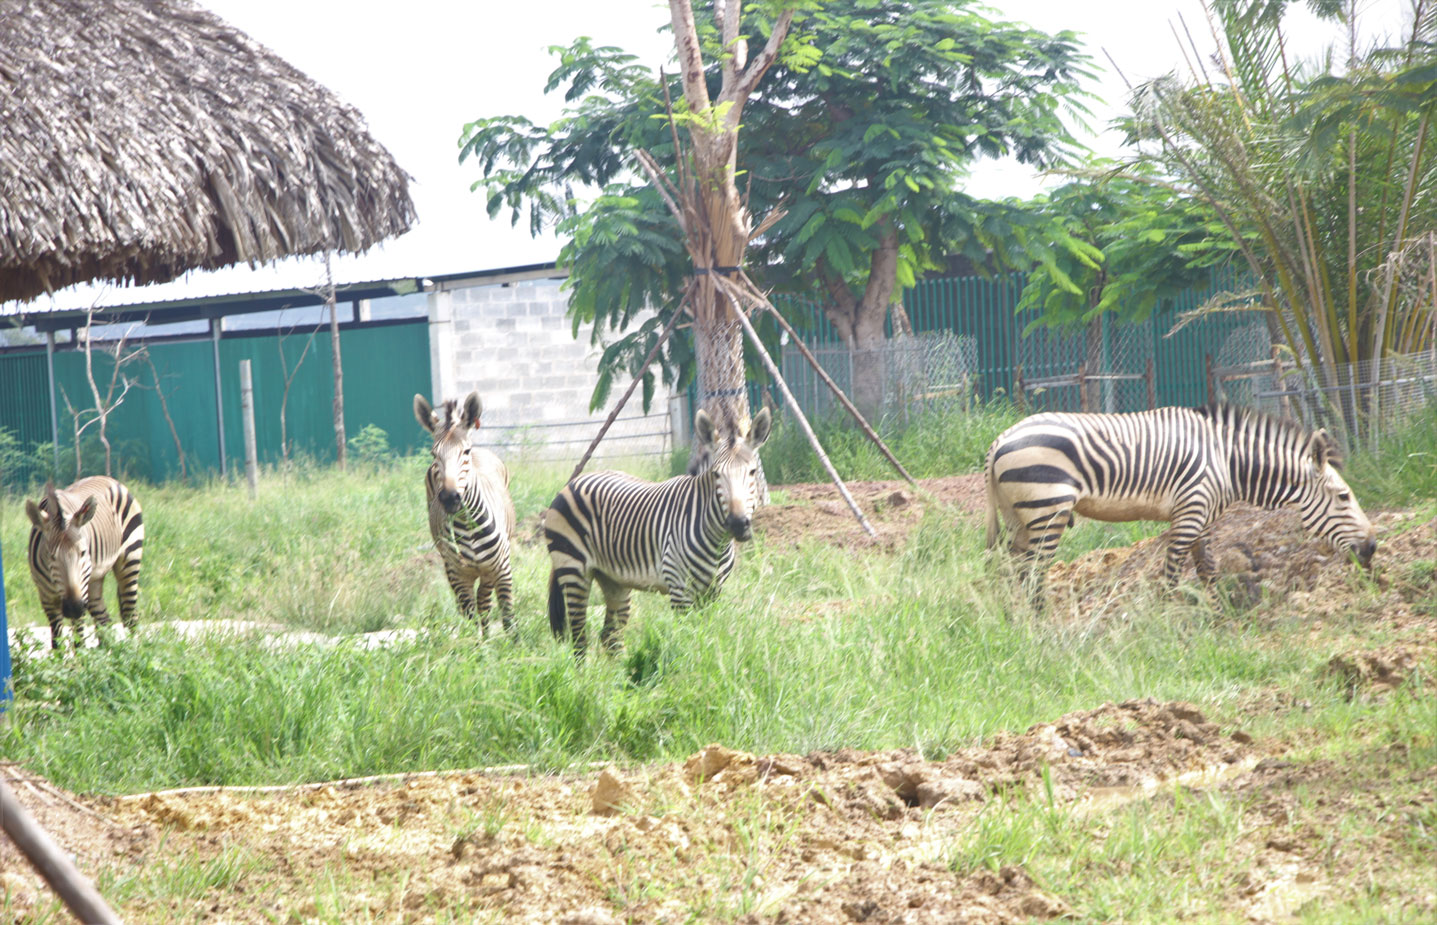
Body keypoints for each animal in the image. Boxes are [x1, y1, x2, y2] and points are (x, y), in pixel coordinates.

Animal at [26, 476, 144, 649]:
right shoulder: (46, 596)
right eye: (51, 557)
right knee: (104, 621)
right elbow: (57, 644)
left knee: (130, 616)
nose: (73, 608)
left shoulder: (81, 594)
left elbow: (79, 641)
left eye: (83, 553)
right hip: (94, 580)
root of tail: (107, 478)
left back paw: (134, 651)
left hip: (130, 559)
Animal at [413, 390, 520, 634]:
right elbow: (469, 621)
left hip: (488, 571)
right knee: (472, 606)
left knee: (484, 602)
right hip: (451, 567)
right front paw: (477, 645)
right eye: (434, 454)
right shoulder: (459, 574)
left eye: (465, 451)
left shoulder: (502, 569)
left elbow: (508, 620)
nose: (450, 497)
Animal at [546, 405, 775, 657]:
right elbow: (688, 641)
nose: (738, 524)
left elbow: (706, 636)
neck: (717, 540)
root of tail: (573, 482)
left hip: (613, 579)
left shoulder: (713, 591)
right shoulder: (679, 589)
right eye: (716, 474)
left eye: (752, 472)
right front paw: (690, 666)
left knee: (610, 637)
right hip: (573, 569)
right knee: (579, 639)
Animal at [982, 402, 1373, 600]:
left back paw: (1012, 622)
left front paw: (1213, 618)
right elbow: (1172, 575)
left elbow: (1207, 570)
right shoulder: (1189, 513)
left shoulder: (1203, 519)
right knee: (1033, 575)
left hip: (1018, 517)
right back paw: (1041, 631)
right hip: (1047, 510)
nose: (1372, 548)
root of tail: (999, 439)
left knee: (1009, 570)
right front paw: (1169, 625)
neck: (1228, 461)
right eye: (1344, 497)